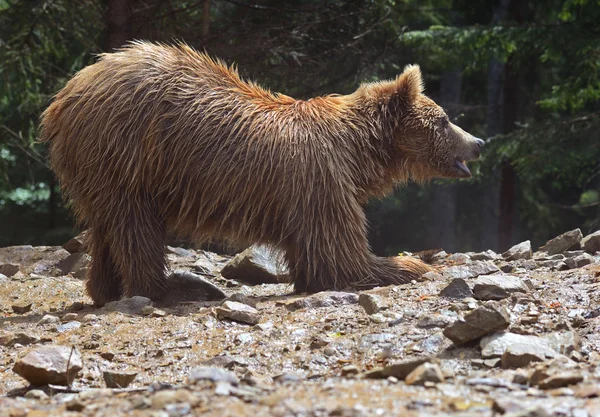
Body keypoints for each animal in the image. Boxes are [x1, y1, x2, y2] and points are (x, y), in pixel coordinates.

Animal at [38, 40, 482, 304]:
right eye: (444, 119)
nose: (477, 142)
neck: (358, 152)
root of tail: (67, 93)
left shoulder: (311, 192)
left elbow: (319, 260)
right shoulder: (320, 179)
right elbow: (343, 258)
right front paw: (415, 262)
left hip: (99, 167)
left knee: (105, 225)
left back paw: (107, 289)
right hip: (129, 153)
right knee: (135, 225)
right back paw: (175, 287)